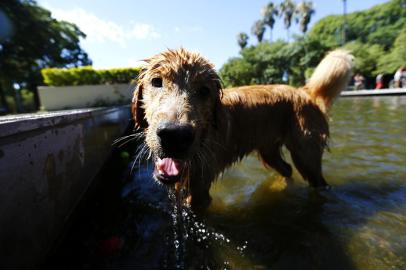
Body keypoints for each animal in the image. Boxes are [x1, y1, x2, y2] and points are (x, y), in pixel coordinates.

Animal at [132, 48, 352, 209]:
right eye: (156, 81)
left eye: (204, 91)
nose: (175, 135)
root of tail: (306, 93)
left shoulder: (199, 192)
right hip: (269, 151)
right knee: (287, 169)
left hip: (306, 155)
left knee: (319, 183)